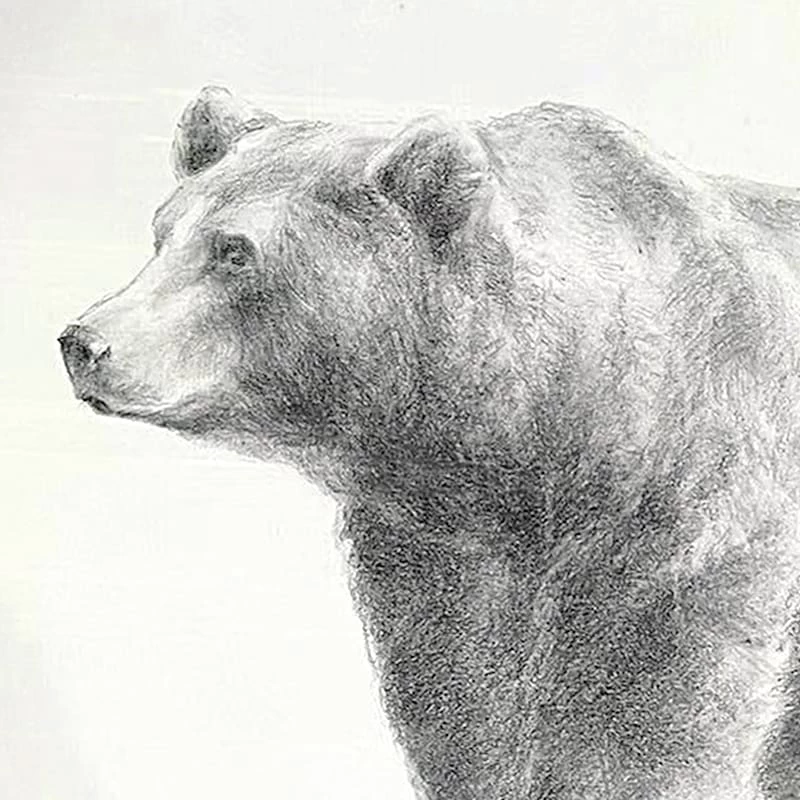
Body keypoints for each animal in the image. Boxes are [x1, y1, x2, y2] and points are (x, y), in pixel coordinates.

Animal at [59, 86, 800, 800]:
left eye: (235, 250)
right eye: (162, 232)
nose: (85, 342)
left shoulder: (689, 513)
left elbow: (654, 710)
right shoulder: (439, 553)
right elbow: (456, 703)